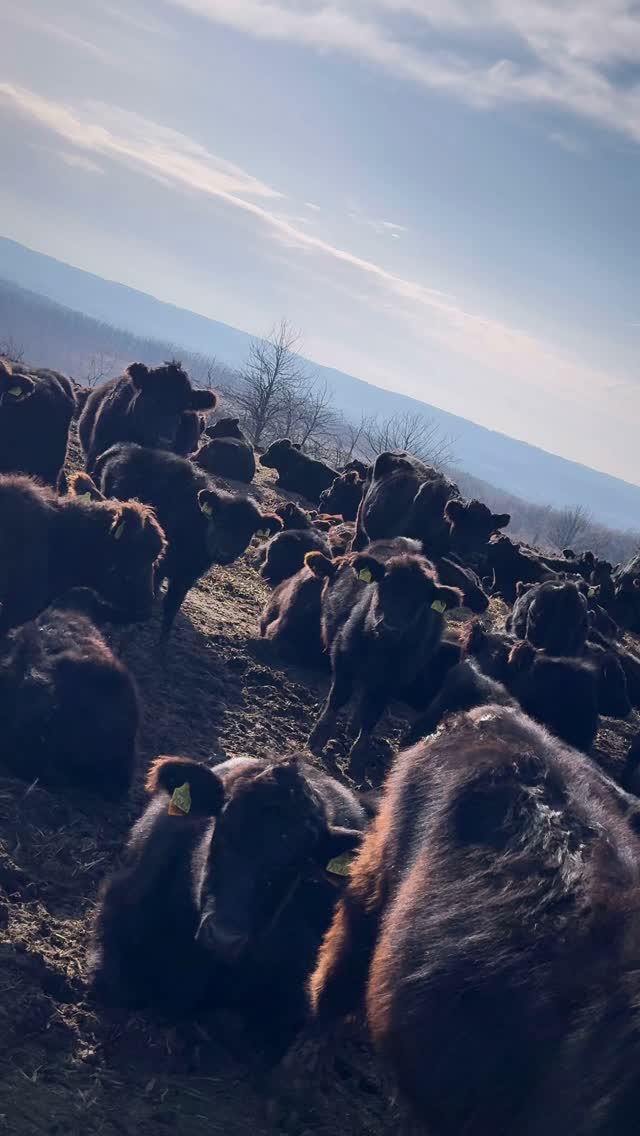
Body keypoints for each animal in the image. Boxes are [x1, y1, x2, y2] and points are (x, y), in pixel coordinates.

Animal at [93, 444, 281, 637]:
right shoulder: (159, 566)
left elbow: (170, 610)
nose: (225, 553)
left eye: (248, 532)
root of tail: (126, 447)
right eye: (219, 522)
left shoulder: (186, 578)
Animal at [306, 547, 461, 776]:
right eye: (384, 584)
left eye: (420, 599)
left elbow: (372, 715)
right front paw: (318, 738)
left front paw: (357, 761)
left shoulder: (392, 681)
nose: (389, 627)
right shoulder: (343, 657)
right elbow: (338, 697)